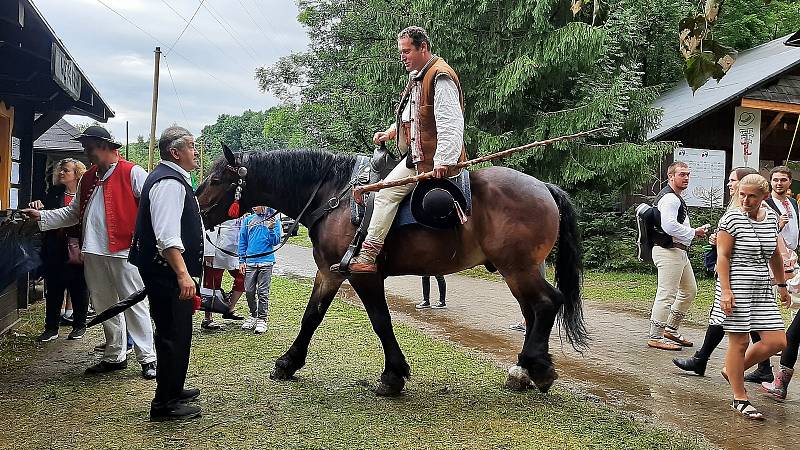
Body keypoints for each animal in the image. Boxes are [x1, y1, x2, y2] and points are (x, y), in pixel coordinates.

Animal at [198, 146, 588, 396]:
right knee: (533, 311)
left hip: (517, 268)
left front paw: (393, 375)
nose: (197, 212)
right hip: (517, 271)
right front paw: (288, 363)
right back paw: (524, 370)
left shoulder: (363, 275)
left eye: (216, 180)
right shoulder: (329, 272)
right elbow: (312, 316)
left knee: (546, 304)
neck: (337, 198)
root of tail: (543, 186)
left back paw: (537, 368)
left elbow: (380, 321)